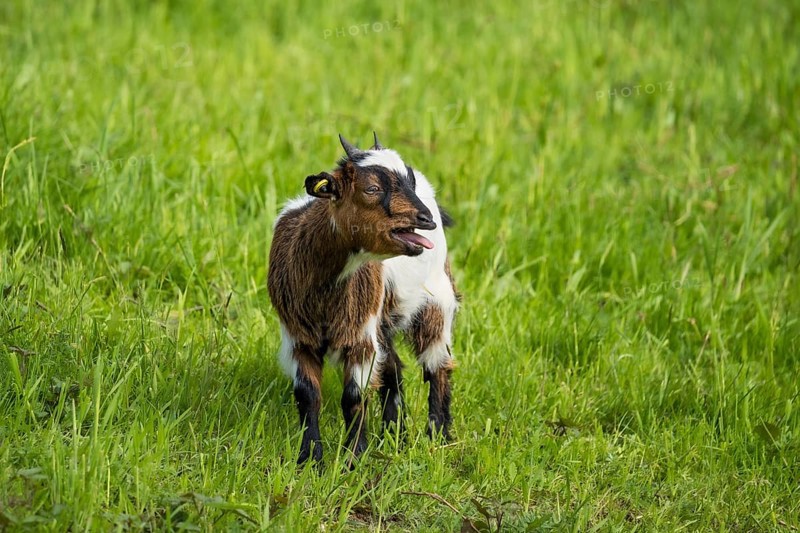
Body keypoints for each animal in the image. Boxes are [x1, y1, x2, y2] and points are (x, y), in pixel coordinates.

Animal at [268, 133, 458, 465]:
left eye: (407, 180)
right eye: (372, 189)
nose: (426, 219)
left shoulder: (359, 336)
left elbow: (353, 397)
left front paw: (353, 458)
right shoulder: (297, 335)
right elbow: (307, 395)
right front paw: (310, 458)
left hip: (437, 301)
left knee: (437, 366)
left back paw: (438, 437)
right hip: (382, 319)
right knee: (393, 368)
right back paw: (395, 436)